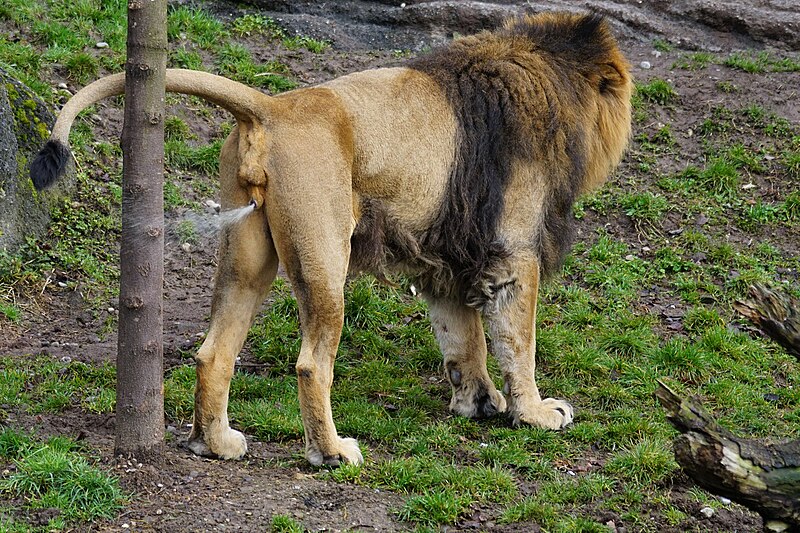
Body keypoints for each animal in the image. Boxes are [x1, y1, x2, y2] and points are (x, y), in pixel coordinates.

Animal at [29, 10, 632, 464]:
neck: (548, 77)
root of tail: (272, 106)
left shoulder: (445, 258)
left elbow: (463, 339)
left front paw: (477, 404)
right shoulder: (513, 251)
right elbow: (515, 341)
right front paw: (535, 413)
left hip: (247, 258)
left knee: (212, 352)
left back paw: (216, 443)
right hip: (324, 256)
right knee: (311, 364)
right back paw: (332, 452)